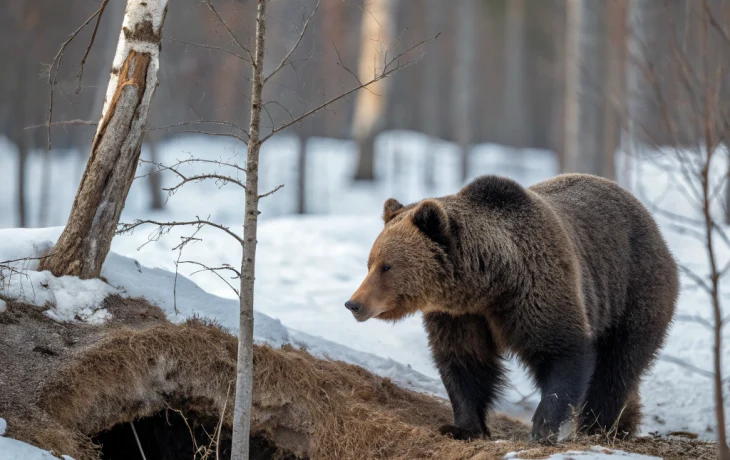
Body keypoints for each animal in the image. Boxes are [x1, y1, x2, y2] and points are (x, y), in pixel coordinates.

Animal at [345, 174, 678, 442]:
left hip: (633, 288)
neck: (488, 283)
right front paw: (462, 427)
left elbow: (563, 349)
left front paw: (543, 427)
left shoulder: (537, 289)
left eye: (387, 266)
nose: (354, 304)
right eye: (370, 263)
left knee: (618, 363)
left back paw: (598, 426)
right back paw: (624, 423)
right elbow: (464, 361)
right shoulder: (460, 315)